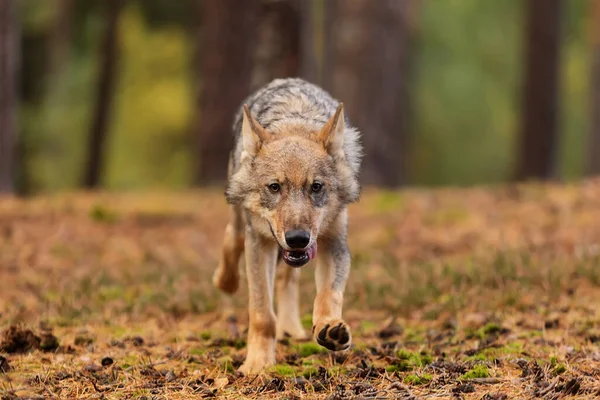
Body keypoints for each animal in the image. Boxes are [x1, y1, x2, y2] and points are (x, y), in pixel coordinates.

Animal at [213, 77, 364, 376]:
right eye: (274, 187)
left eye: (316, 187)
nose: (297, 239)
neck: (294, 120)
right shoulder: (259, 245)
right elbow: (262, 315)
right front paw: (257, 364)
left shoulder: (333, 243)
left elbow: (329, 295)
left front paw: (329, 327)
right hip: (242, 222)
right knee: (232, 239)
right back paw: (225, 281)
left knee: (287, 278)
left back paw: (292, 330)